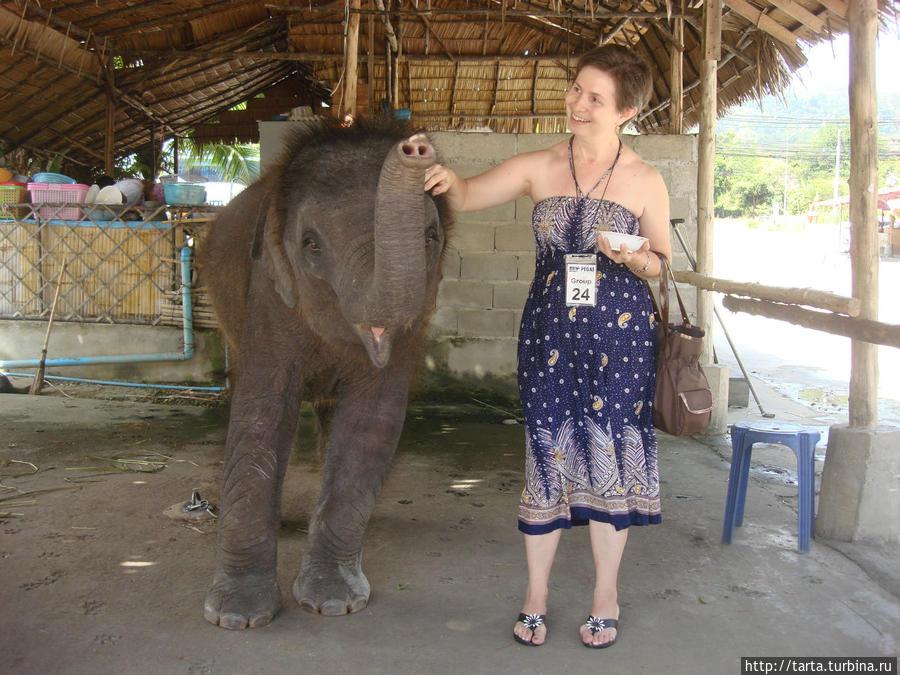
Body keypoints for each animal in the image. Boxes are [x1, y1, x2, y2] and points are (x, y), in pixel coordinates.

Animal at [198, 120, 450, 628]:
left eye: (431, 236)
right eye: (310, 244)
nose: (415, 147)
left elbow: (372, 421)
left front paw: (334, 603)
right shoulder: (268, 295)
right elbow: (260, 416)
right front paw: (238, 616)